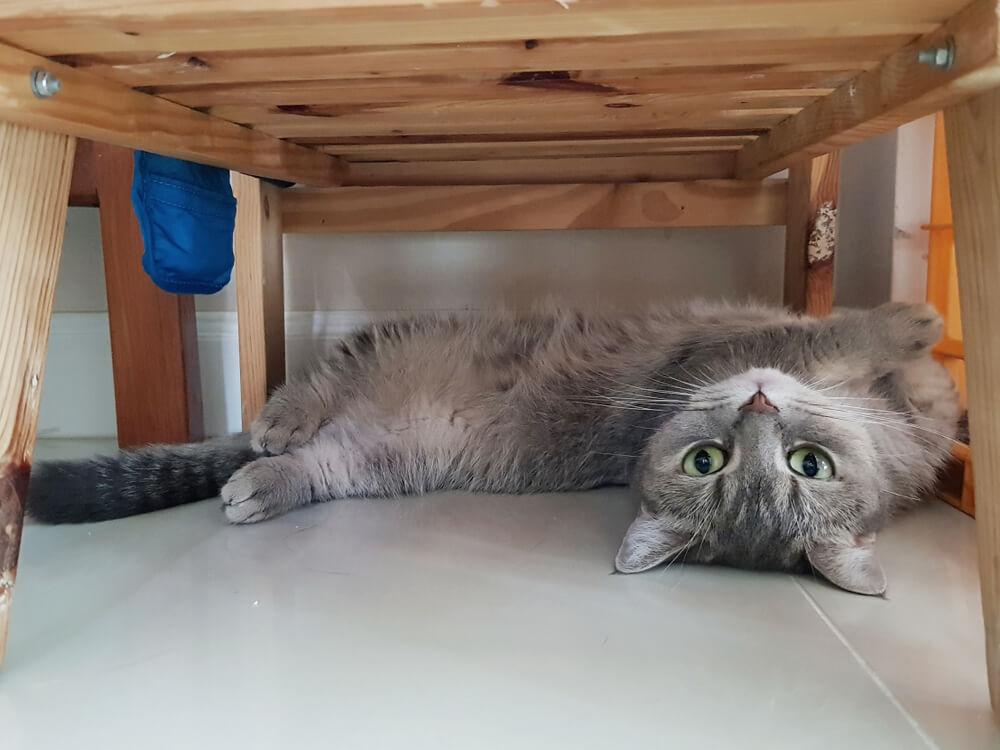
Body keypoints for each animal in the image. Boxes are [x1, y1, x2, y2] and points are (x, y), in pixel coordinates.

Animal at [27, 302, 956, 596]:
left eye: (805, 468)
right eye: (708, 460)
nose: (759, 405)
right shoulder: (730, 351)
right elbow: (825, 330)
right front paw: (912, 321)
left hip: (382, 463)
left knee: (316, 463)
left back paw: (261, 482)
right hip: (383, 347)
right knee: (305, 388)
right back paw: (278, 420)